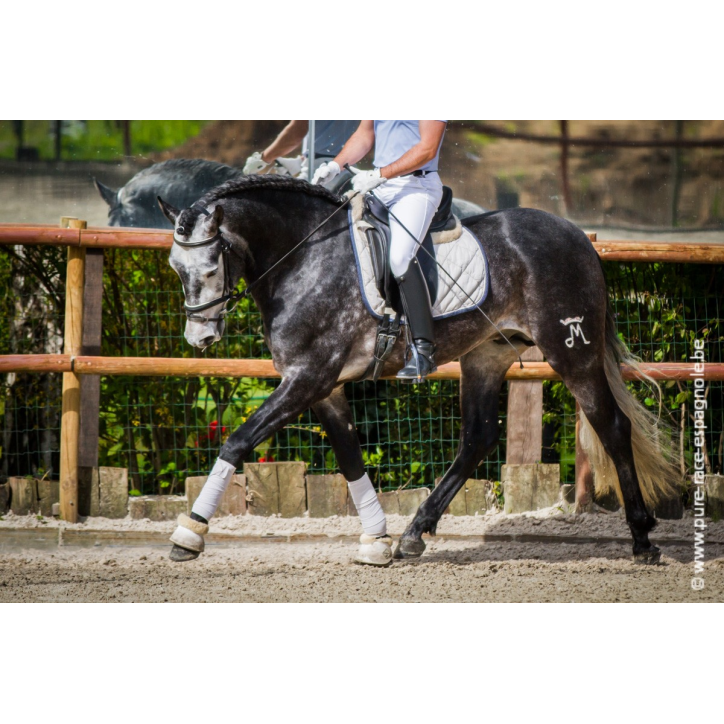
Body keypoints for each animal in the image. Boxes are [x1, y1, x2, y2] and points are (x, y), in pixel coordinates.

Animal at [158, 174, 679, 565]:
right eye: (175, 268)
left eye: (210, 268)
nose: (199, 339)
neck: (306, 259)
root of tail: (577, 236)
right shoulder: (324, 388)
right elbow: (350, 458)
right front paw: (376, 540)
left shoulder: (308, 378)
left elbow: (238, 440)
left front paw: (190, 533)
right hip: (486, 355)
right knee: (477, 438)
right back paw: (414, 533)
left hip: (573, 353)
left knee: (612, 426)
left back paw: (642, 540)